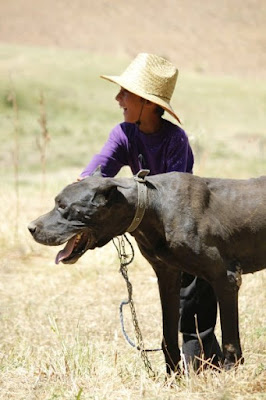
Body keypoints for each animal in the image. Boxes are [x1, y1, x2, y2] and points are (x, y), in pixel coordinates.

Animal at [28, 170, 266, 374]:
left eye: (63, 206)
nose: (30, 228)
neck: (152, 204)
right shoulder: (167, 276)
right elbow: (168, 336)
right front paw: (173, 378)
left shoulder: (226, 278)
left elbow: (230, 340)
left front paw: (230, 374)